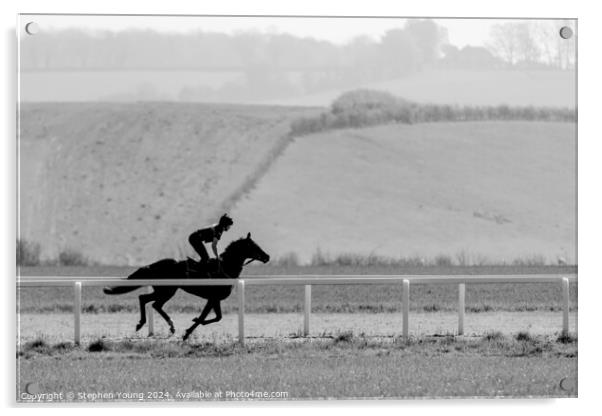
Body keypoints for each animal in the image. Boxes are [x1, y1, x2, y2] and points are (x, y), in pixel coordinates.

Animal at [104, 232, 268, 340]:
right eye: (254, 246)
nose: (267, 257)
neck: (225, 268)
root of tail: (153, 265)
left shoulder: (216, 299)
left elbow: (217, 317)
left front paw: (192, 323)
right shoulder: (212, 298)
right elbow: (205, 317)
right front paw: (187, 332)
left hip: (166, 290)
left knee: (149, 301)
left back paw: (164, 325)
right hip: (167, 290)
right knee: (148, 300)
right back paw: (145, 324)